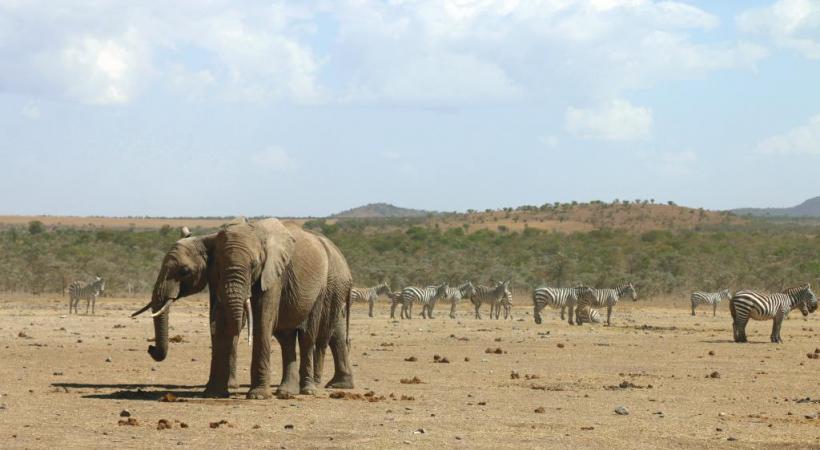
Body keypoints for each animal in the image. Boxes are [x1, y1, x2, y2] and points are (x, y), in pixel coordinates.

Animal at [131, 221, 352, 398]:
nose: (150, 348)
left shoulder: (272, 274)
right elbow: (221, 321)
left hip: (322, 290)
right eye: (219, 265)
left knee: (308, 337)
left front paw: (257, 396)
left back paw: (309, 390)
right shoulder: (216, 277)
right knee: (287, 339)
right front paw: (214, 393)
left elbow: (262, 321)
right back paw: (286, 392)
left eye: (184, 271)